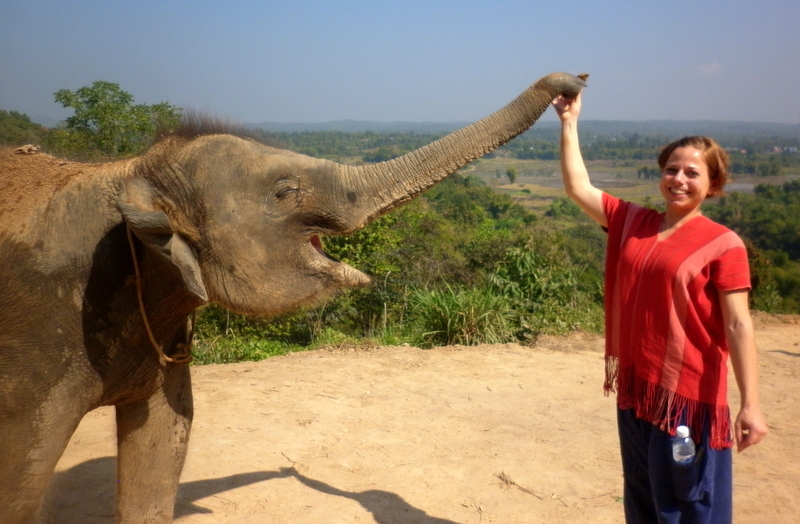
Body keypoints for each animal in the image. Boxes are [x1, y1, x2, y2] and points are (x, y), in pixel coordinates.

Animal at [0, 70, 588, 524]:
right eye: (285, 192)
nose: (573, 80)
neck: (128, 173)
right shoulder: (37, 343)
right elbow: (22, 480)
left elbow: (165, 443)